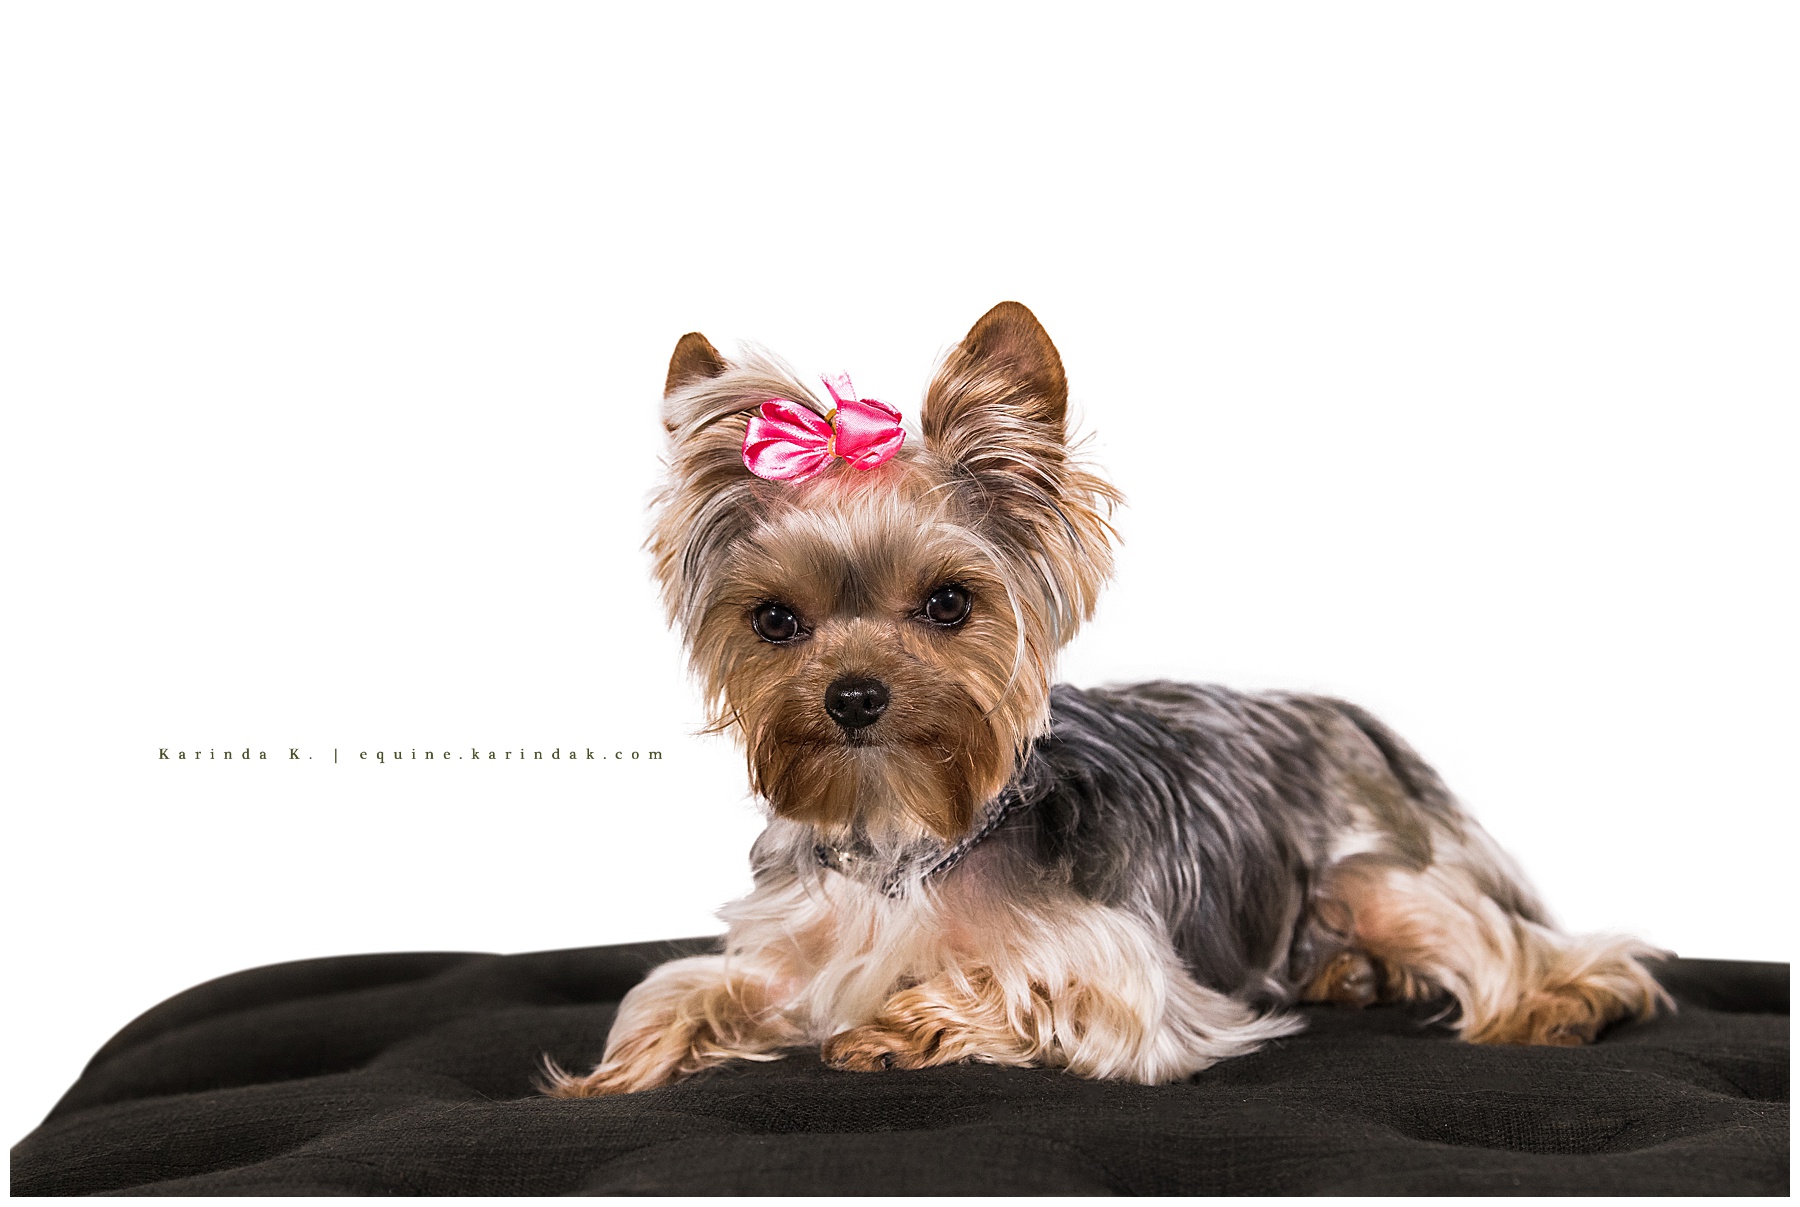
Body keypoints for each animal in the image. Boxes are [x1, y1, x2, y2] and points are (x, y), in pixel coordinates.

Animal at [545, 301, 1669, 1096]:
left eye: (948, 602)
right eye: (776, 620)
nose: (854, 697)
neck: (905, 829)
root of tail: (1345, 713)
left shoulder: (1127, 980)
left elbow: (1015, 980)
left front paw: (894, 1027)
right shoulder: (791, 947)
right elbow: (680, 988)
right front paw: (622, 1065)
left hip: (1380, 877)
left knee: (1536, 951)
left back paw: (1563, 1000)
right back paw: (1351, 976)